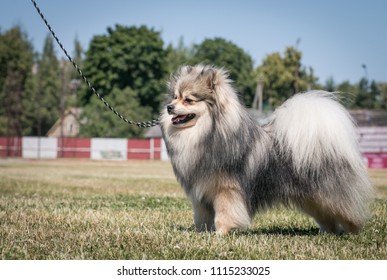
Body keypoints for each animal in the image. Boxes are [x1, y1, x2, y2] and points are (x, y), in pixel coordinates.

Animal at [159, 64, 374, 234]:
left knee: (348, 212)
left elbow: (224, 216)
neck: (204, 133)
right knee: (327, 217)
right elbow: (202, 218)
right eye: (175, 97)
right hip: (312, 199)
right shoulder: (201, 195)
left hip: (329, 194)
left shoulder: (226, 191)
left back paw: (353, 232)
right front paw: (203, 233)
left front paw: (220, 234)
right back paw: (327, 233)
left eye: (188, 100)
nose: (169, 107)